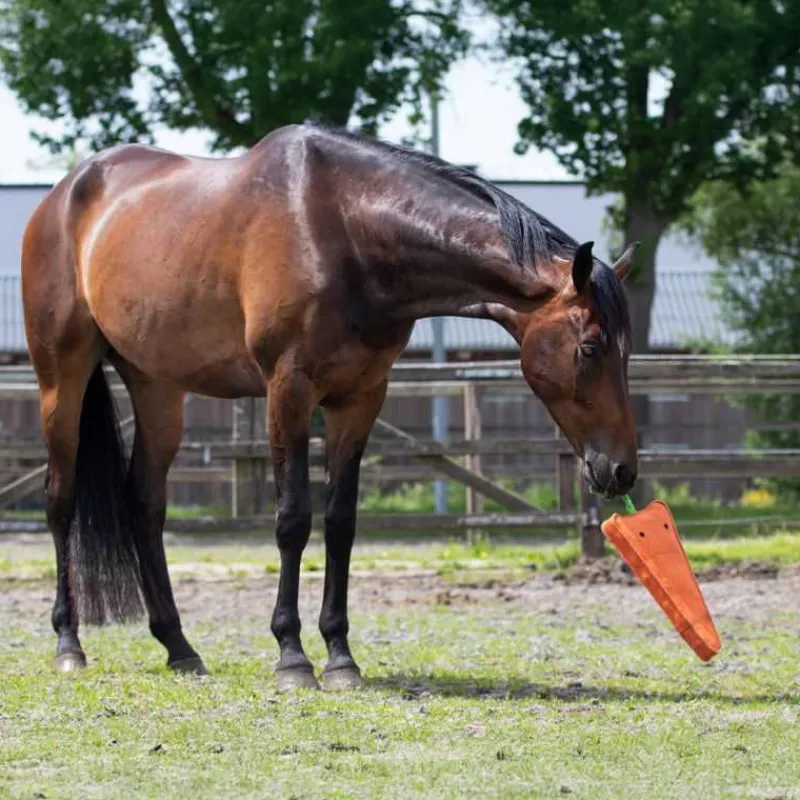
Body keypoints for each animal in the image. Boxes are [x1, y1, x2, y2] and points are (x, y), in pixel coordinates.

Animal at [22, 122, 639, 689]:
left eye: (626, 350)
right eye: (589, 347)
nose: (621, 470)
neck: (344, 231)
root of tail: (64, 194)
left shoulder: (359, 398)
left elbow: (340, 523)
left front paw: (341, 656)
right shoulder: (288, 392)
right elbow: (293, 519)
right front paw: (292, 656)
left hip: (157, 387)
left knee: (145, 505)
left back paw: (179, 647)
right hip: (62, 379)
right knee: (60, 499)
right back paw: (69, 644)